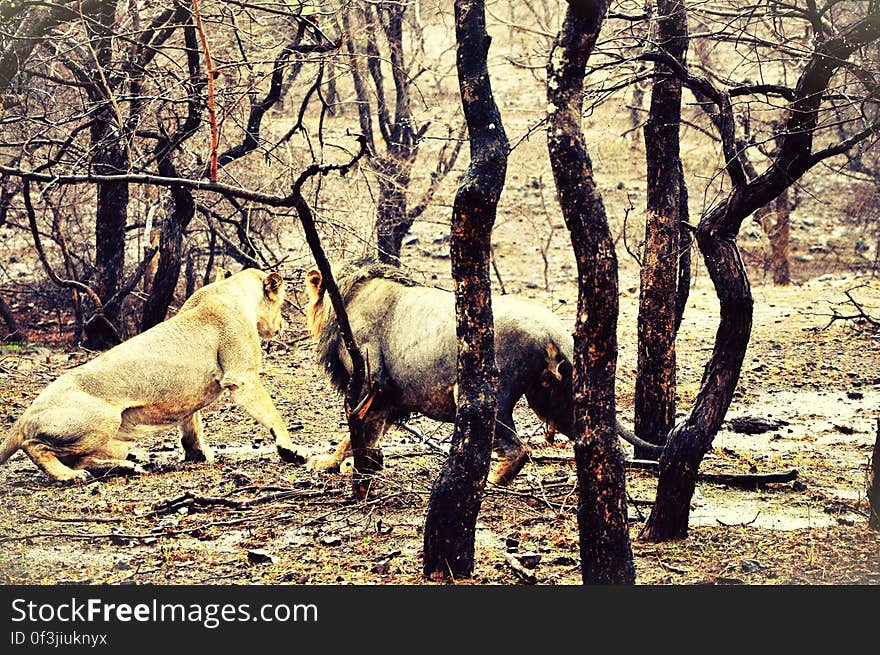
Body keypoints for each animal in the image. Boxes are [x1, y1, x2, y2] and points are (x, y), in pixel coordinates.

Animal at [0, 270, 304, 484]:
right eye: (282, 303)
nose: (282, 325)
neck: (232, 291)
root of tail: (25, 416)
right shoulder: (241, 377)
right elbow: (273, 413)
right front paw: (290, 449)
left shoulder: (191, 395)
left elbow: (192, 425)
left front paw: (197, 455)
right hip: (103, 420)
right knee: (34, 446)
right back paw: (69, 476)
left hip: (115, 442)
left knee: (80, 460)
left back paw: (126, 468)